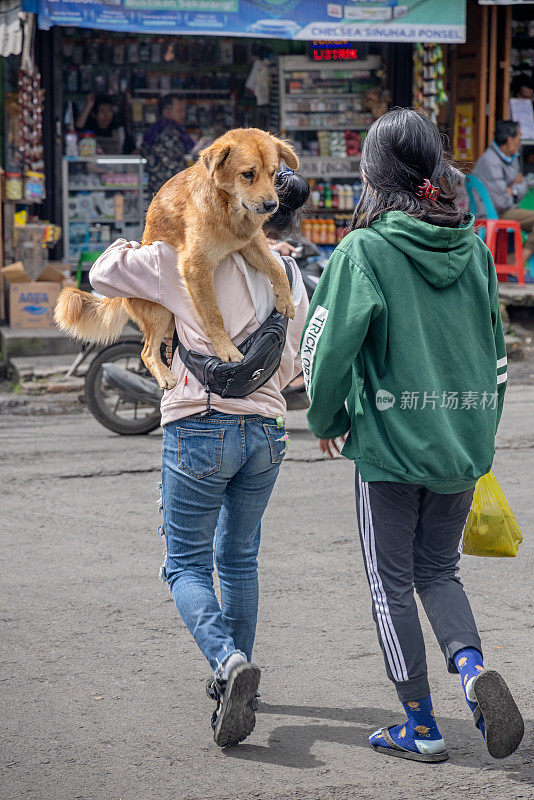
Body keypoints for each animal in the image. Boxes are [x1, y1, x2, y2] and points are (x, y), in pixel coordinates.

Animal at [56, 129, 300, 390]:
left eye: (272, 173)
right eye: (247, 174)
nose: (272, 205)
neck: (229, 212)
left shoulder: (251, 243)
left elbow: (276, 268)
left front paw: (285, 299)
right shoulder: (196, 267)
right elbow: (213, 315)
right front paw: (226, 349)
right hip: (159, 313)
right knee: (146, 352)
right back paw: (165, 376)